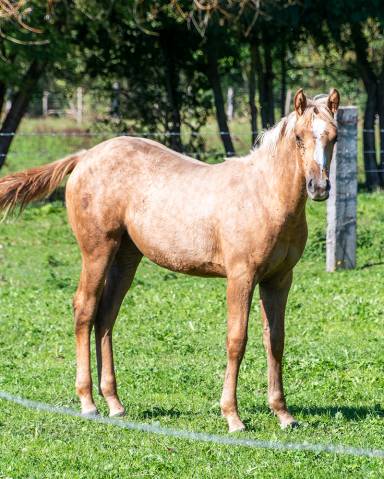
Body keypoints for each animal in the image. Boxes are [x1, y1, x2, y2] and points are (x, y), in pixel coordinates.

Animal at [0, 88, 340, 434]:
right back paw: (88, 402)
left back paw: (114, 403)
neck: (264, 197)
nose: (319, 187)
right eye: (298, 137)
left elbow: (275, 340)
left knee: (106, 317)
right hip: (97, 251)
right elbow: (237, 340)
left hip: (125, 258)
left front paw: (283, 414)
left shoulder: (279, 280)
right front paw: (232, 416)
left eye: (334, 136)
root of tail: (84, 157)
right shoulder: (241, 277)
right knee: (84, 309)